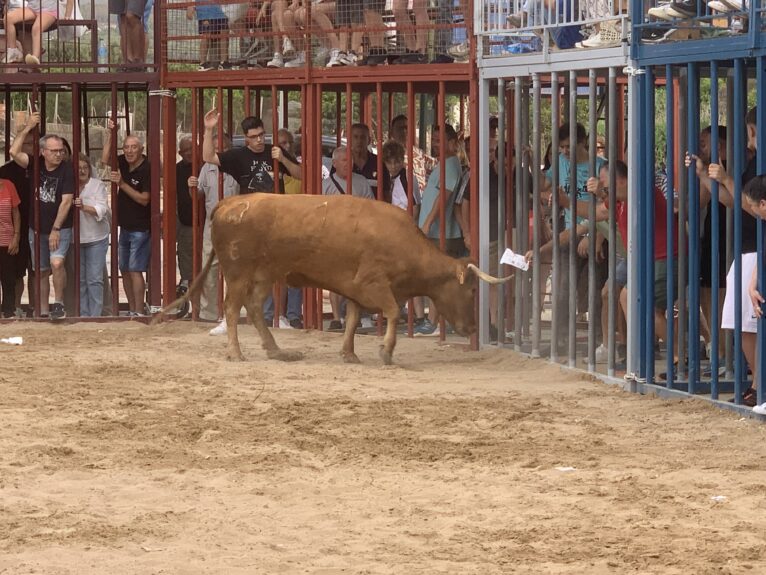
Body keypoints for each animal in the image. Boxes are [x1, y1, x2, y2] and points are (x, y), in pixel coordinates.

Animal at [165, 194, 512, 364]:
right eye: (470, 290)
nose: (472, 328)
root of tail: (229, 203)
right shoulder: (373, 284)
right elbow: (391, 312)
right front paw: (386, 352)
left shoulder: (356, 290)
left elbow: (354, 319)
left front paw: (349, 353)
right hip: (238, 274)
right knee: (232, 308)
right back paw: (236, 353)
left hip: (266, 275)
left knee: (252, 307)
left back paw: (277, 351)